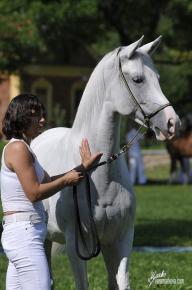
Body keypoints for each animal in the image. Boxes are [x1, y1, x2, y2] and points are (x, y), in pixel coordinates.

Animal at [31, 36, 180, 290]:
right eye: (138, 79)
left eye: (158, 78)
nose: (172, 123)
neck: (100, 174)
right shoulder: (77, 246)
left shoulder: (120, 241)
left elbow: (120, 282)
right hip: (43, 240)